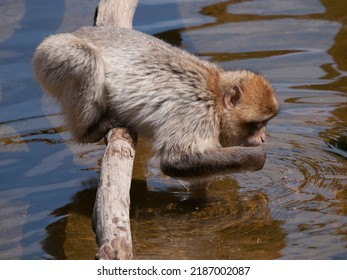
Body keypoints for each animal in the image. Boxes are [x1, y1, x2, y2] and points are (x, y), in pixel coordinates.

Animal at [32, 26, 280, 179]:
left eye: (266, 123)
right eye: (259, 124)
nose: (263, 137)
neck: (215, 92)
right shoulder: (197, 111)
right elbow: (176, 160)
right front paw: (258, 156)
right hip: (54, 55)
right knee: (85, 58)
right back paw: (88, 132)